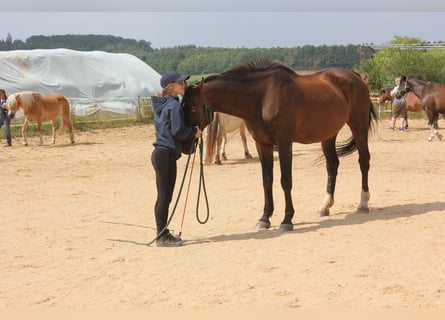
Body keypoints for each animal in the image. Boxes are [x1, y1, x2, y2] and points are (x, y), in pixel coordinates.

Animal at [182, 59, 376, 230]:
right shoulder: (262, 144)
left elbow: (285, 181)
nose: (186, 143)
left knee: (364, 161)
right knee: (332, 165)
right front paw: (264, 218)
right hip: (328, 134)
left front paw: (287, 220)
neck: (262, 97)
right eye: (181, 106)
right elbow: (267, 180)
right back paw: (325, 206)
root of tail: (355, 76)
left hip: (358, 127)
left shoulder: (284, 143)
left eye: (193, 107)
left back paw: (363, 203)